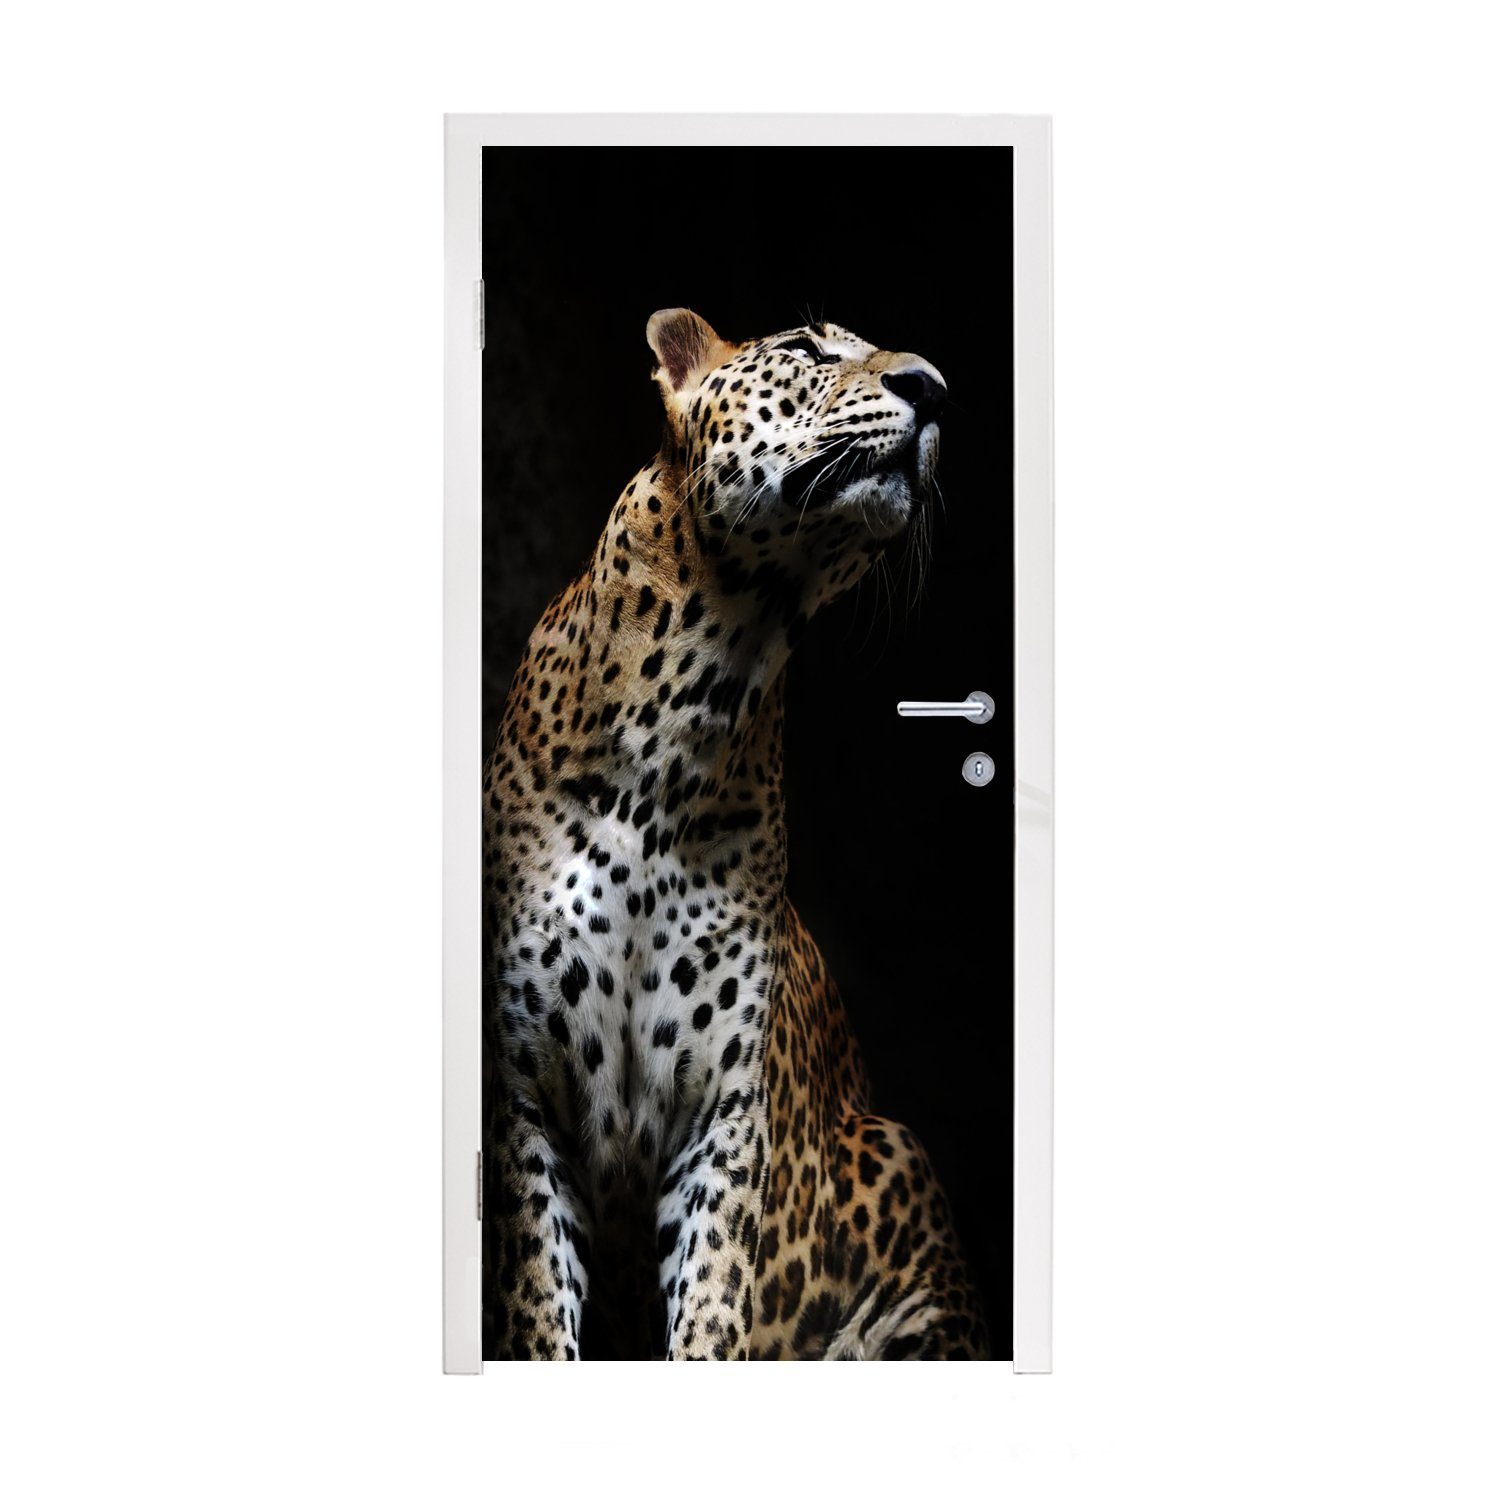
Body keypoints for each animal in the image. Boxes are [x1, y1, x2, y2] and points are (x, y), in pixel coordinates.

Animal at [482, 309, 988, 1360]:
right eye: (806, 347)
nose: (934, 387)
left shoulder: (724, 1116)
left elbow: (711, 1314)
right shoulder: (521, 1101)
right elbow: (538, 1318)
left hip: (900, 1167)